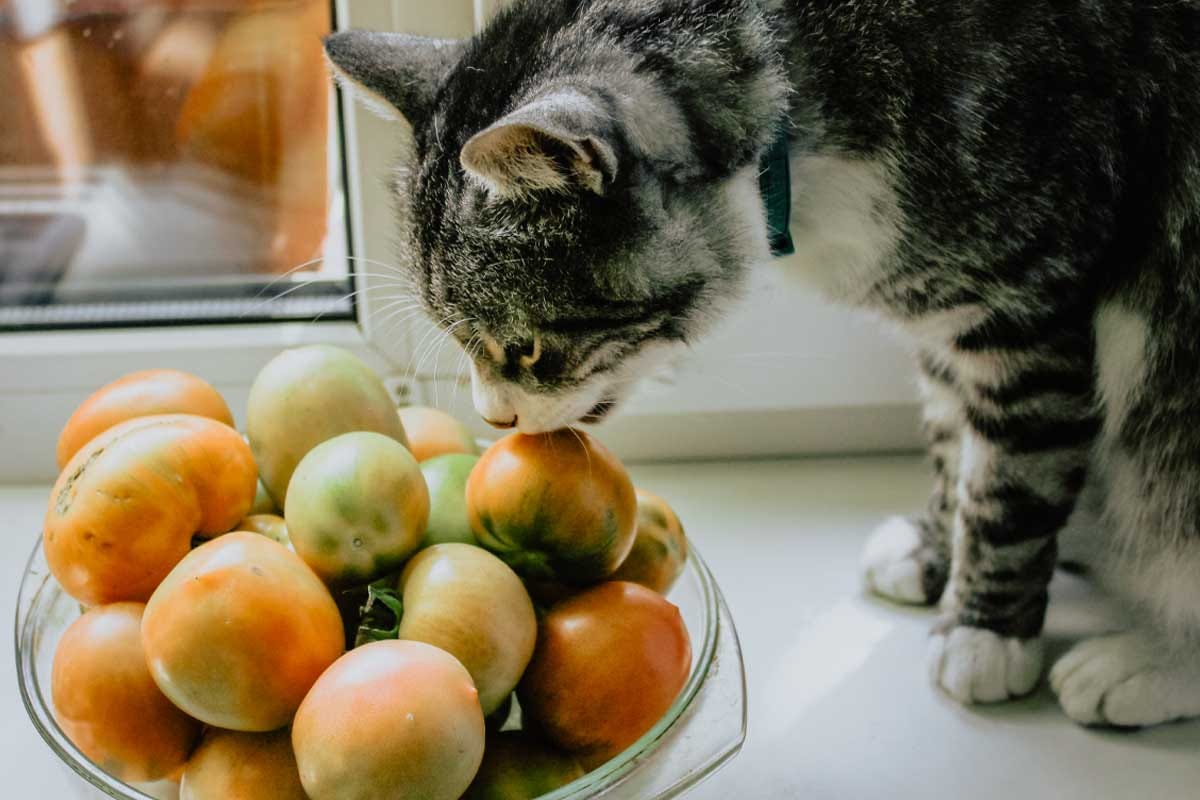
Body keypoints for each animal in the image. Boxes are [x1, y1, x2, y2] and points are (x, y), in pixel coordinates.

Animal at [326, 0, 1200, 724]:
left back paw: (1140, 663)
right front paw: (933, 551)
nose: (493, 415)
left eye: (526, 347)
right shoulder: (949, 323)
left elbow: (1007, 483)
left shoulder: (1024, 312)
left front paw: (984, 633)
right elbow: (954, 446)